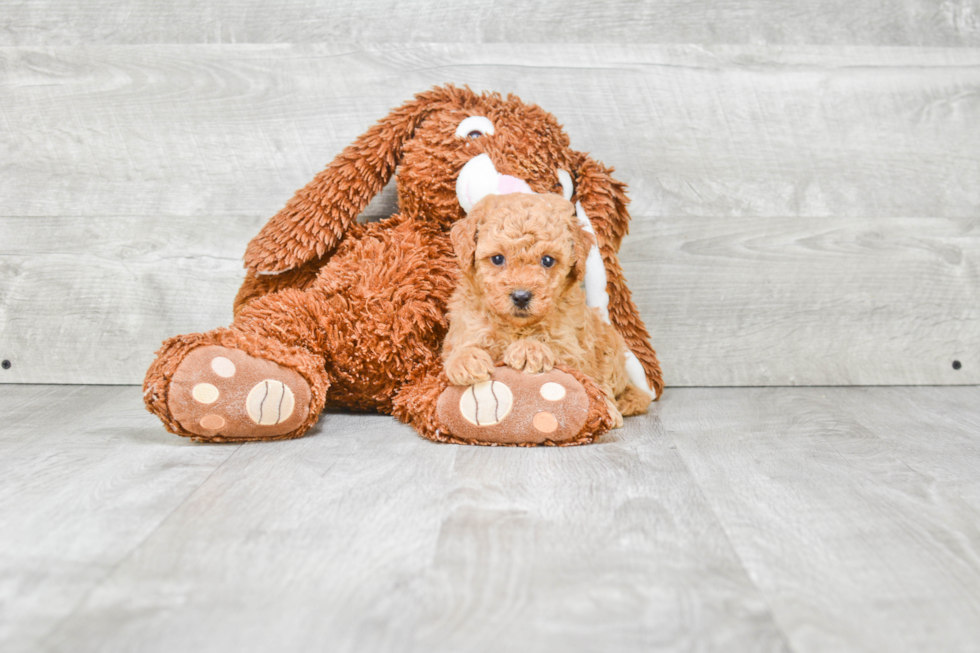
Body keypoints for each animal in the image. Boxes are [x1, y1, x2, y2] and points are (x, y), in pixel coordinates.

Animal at [444, 191, 652, 426]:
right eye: (497, 258)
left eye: (547, 260)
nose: (521, 296)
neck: (516, 326)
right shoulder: (468, 328)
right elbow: (463, 348)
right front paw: (465, 360)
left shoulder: (573, 350)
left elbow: (554, 348)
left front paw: (529, 348)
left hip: (609, 346)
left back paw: (617, 406)